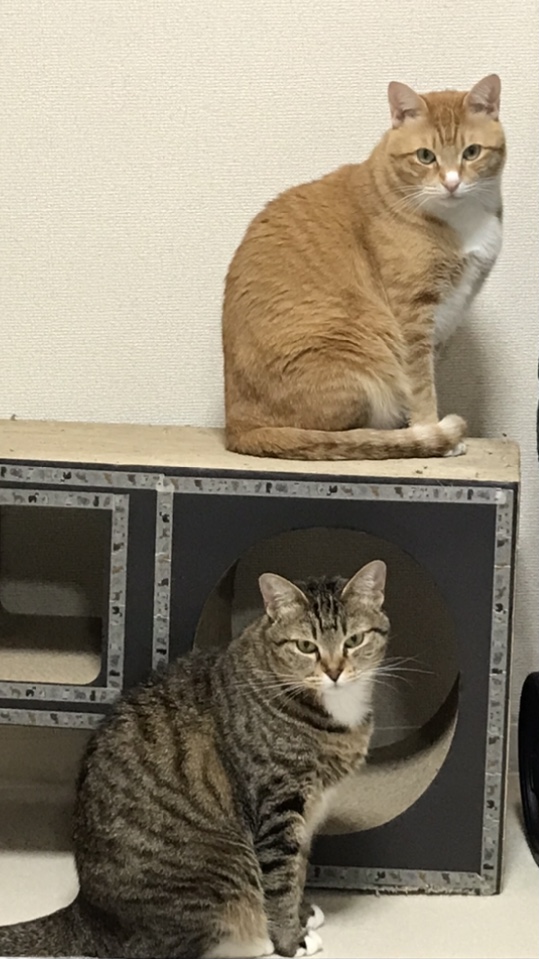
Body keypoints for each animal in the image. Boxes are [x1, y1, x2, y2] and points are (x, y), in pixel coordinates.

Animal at [0, 560, 389, 959]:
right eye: (306, 646)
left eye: (354, 640)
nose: (334, 671)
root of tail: (88, 913)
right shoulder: (278, 805)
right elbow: (281, 878)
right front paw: (290, 939)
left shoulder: (308, 812)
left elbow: (297, 871)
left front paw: (302, 912)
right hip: (214, 872)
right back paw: (255, 938)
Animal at [222, 75, 505, 460]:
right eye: (425, 156)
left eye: (472, 152)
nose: (451, 183)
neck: (461, 221)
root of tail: (236, 428)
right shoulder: (412, 316)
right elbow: (421, 386)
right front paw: (432, 432)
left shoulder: (444, 320)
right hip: (359, 363)